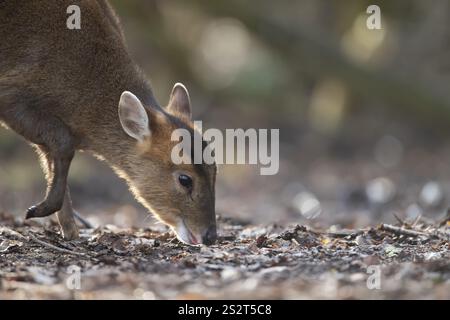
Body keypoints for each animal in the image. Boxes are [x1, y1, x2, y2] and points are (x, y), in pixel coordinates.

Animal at [0, 0, 216, 245]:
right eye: (185, 179)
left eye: (214, 170)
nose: (211, 235)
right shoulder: (11, 92)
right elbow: (64, 143)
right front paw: (38, 211)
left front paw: (70, 231)